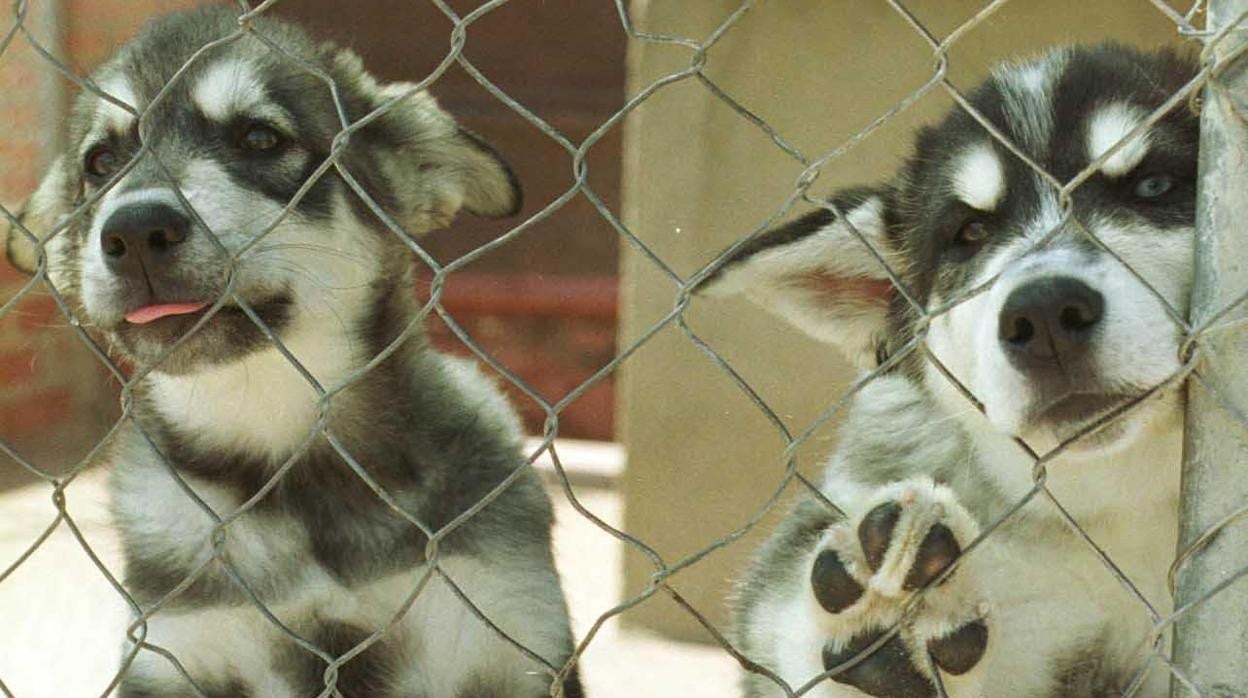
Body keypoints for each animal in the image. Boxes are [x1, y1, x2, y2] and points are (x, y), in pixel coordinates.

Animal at [2, 6, 584, 698]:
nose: (136, 231)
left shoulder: (509, 626)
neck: (284, 448)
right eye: (101, 161)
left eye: (259, 139)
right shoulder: (180, 648)